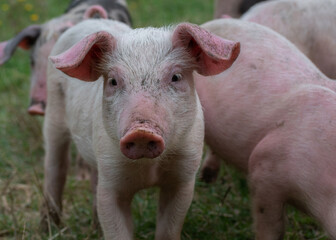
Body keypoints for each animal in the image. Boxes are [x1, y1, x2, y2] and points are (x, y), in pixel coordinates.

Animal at [43, 17, 240, 239]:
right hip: (53, 114)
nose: (141, 132)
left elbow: (169, 229)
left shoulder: (184, 176)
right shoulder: (110, 177)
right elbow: (116, 229)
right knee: (55, 168)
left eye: (176, 77)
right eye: (113, 81)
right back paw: (47, 229)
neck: (149, 170)